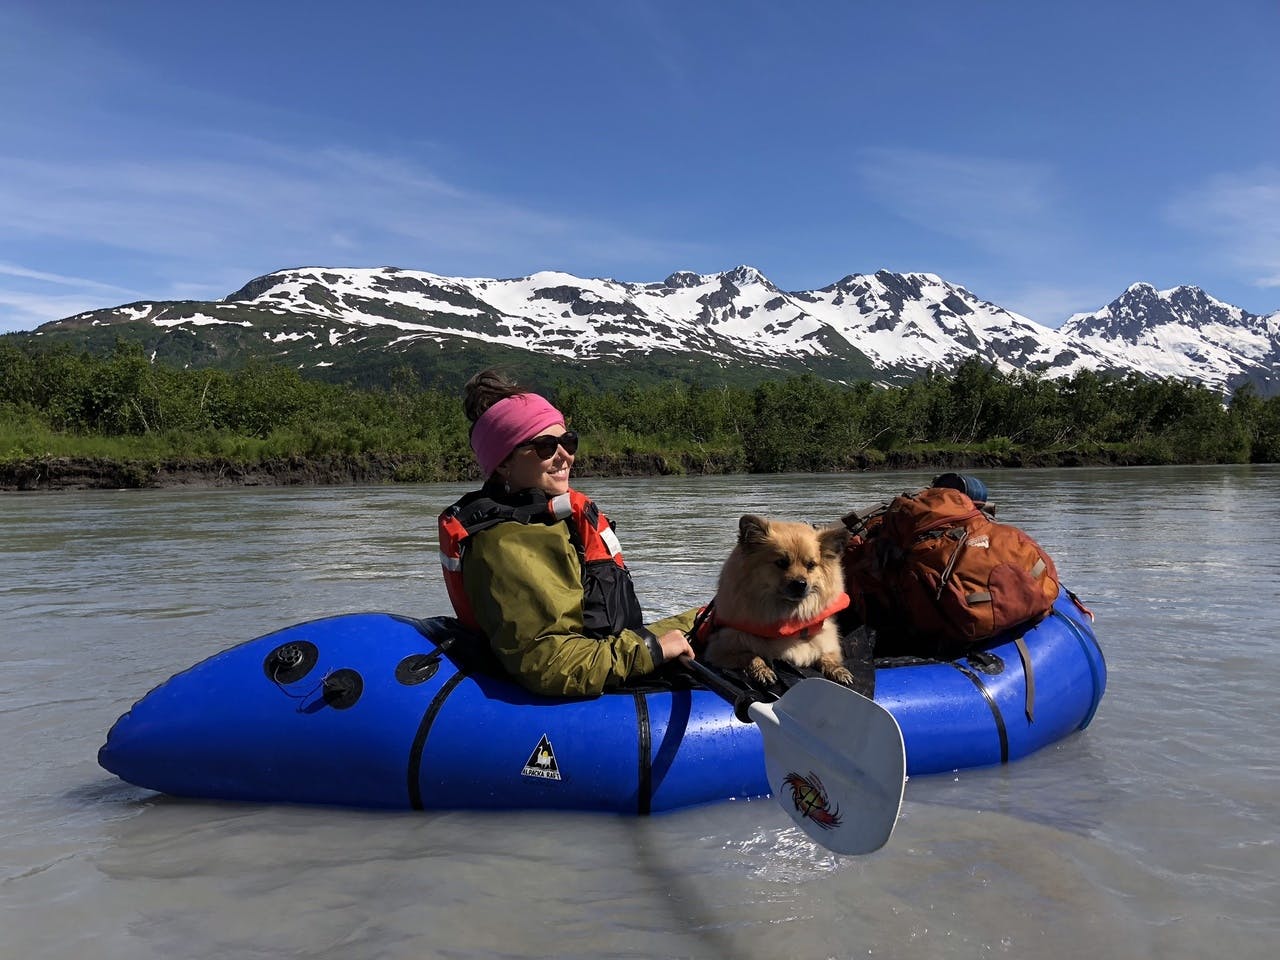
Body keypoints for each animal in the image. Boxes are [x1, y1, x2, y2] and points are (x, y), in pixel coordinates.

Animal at [701, 514, 849, 686]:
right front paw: (762, 670)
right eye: (781, 562)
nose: (800, 583)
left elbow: (827, 656)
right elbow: (751, 655)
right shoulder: (719, 649)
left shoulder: (825, 642)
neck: (788, 613)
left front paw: (838, 670)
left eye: (811, 565)